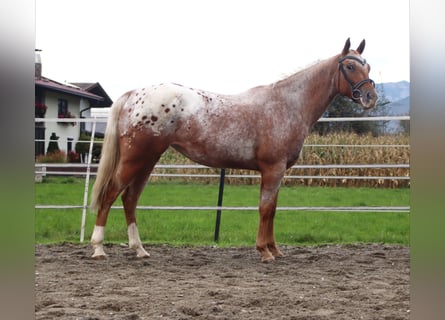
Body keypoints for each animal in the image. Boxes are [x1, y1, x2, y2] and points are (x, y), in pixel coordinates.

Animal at [89, 38, 374, 262]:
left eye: (367, 65)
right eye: (350, 66)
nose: (371, 97)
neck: (287, 104)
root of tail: (134, 94)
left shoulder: (278, 171)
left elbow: (272, 209)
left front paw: (274, 249)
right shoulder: (272, 169)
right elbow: (265, 208)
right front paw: (264, 251)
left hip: (148, 160)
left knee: (130, 198)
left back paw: (139, 249)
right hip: (135, 159)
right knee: (111, 193)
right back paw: (99, 248)